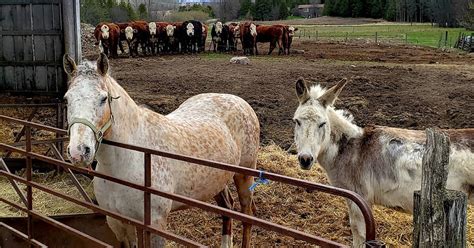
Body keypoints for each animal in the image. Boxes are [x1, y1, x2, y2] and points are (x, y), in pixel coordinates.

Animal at [62, 54, 260, 248]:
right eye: (66, 99)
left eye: (103, 98)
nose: (79, 151)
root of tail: (238, 100)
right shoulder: (119, 223)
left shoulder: (155, 224)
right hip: (217, 181)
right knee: (227, 208)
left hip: (244, 175)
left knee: (247, 215)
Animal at [290, 77, 472, 246]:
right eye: (296, 121)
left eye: (322, 124)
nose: (305, 159)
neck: (350, 147)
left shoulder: (359, 199)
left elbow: (359, 235)